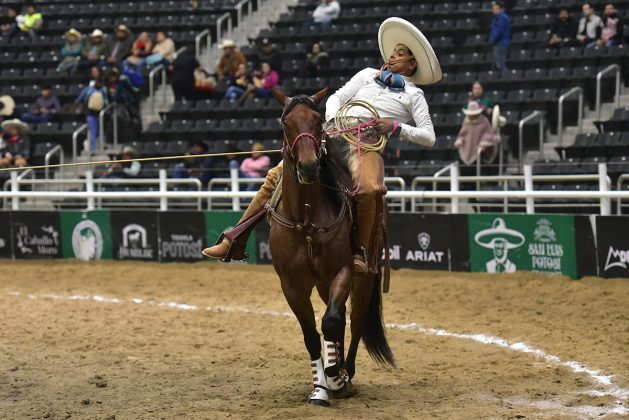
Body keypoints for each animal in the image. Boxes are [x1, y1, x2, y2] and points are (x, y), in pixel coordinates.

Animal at [268, 89, 394, 406]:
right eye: (285, 122)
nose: (308, 166)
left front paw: (336, 377)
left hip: (365, 278)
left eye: (317, 120)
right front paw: (319, 387)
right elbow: (312, 334)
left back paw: (346, 372)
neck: (307, 220)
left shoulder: (343, 272)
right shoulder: (291, 285)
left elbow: (331, 322)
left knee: (354, 320)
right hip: (324, 285)